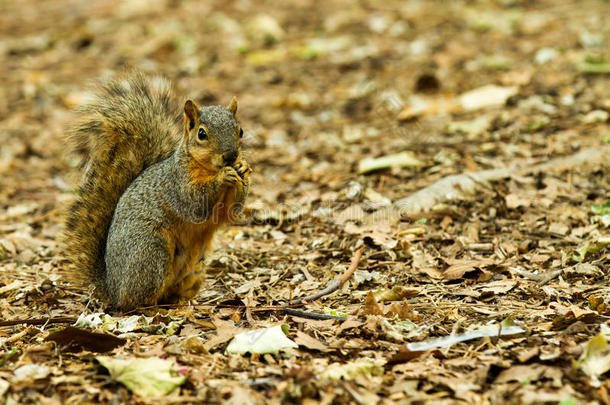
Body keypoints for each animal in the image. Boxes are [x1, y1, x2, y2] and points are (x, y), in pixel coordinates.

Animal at [63, 73, 251, 310]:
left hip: (195, 269)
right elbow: (195, 206)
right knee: (136, 300)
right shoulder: (176, 183)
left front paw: (244, 170)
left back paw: (182, 302)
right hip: (152, 252)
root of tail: (112, 289)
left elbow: (231, 212)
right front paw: (224, 175)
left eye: (240, 130)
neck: (208, 168)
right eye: (202, 134)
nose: (231, 156)